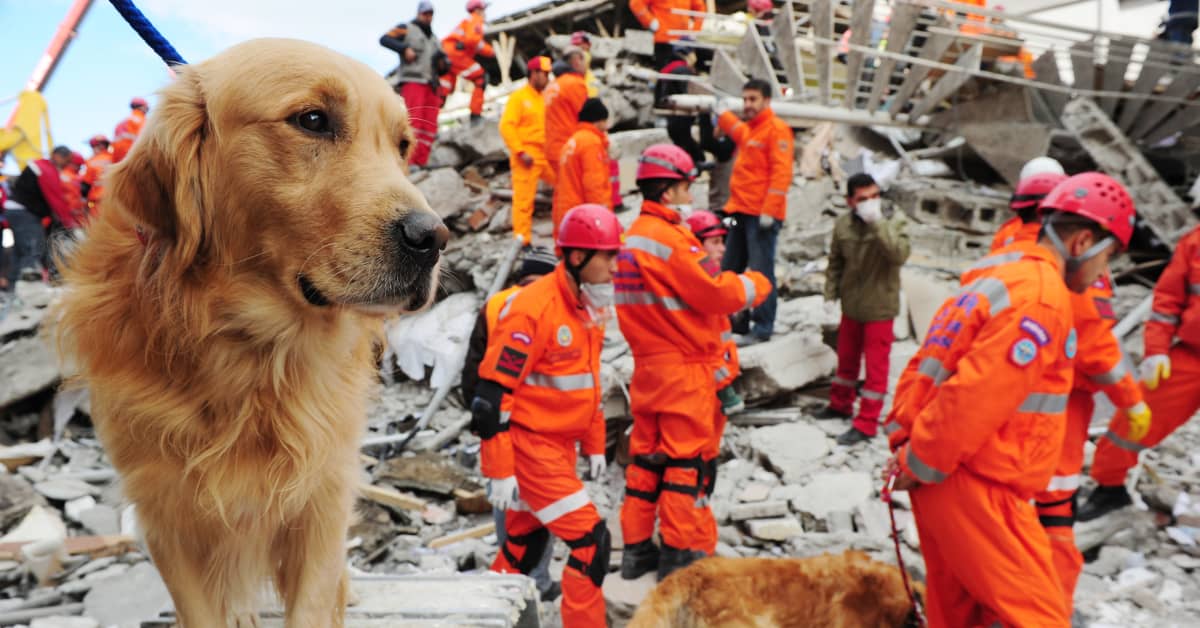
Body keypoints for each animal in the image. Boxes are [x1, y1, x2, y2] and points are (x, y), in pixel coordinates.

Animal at [51, 38, 451, 624]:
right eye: (312, 120)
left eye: (402, 145)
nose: (434, 237)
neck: (248, 348)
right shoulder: (166, 512)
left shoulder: (321, 499)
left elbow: (313, 600)